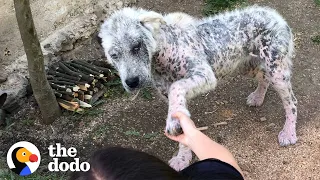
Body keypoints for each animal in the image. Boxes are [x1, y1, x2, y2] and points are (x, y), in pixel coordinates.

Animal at [99, 5, 298, 170]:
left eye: (136, 46)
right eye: (114, 55)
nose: (132, 82)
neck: (164, 51)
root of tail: (274, 14)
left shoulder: (204, 75)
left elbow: (176, 86)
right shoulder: (172, 95)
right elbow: (182, 124)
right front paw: (182, 157)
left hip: (277, 71)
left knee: (292, 103)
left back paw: (289, 132)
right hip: (248, 65)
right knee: (264, 78)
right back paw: (258, 97)